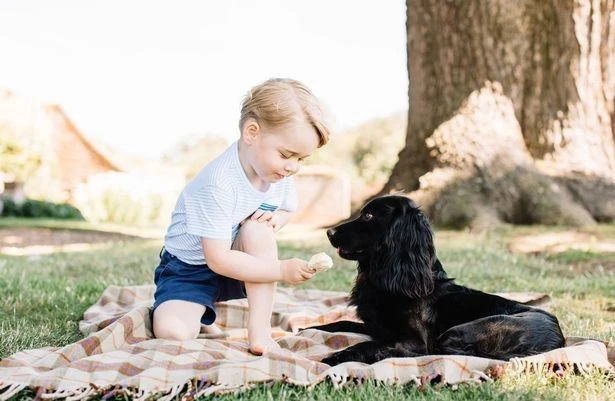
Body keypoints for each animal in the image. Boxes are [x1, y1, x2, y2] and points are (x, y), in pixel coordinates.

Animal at [310, 195, 564, 366]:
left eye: (369, 215)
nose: (329, 232)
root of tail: (557, 342)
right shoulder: (376, 327)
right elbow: (339, 324)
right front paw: (308, 329)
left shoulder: (414, 339)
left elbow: (372, 343)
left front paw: (337, 356)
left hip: (461, 331)